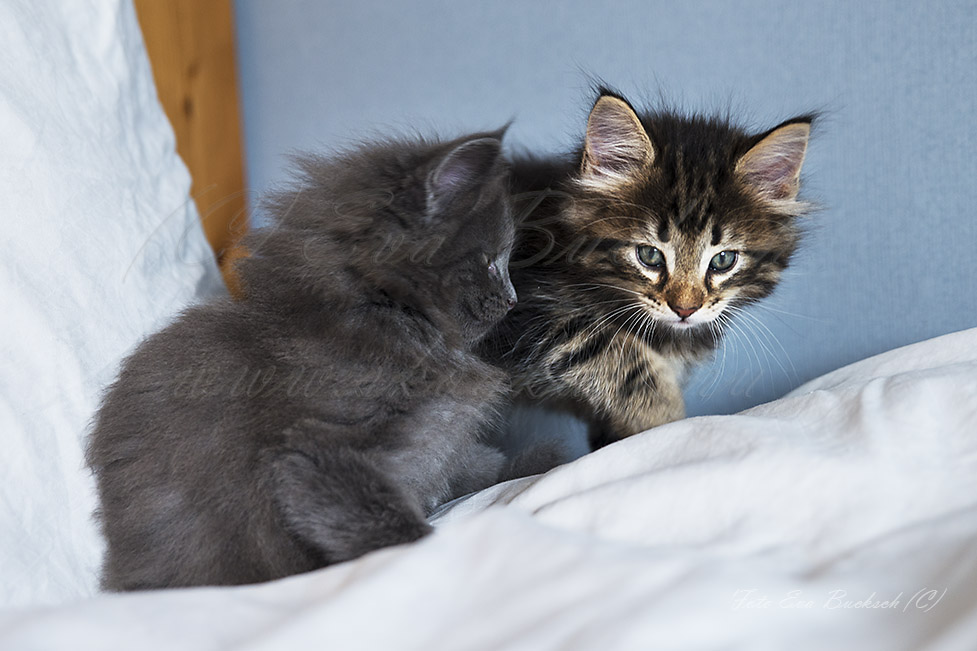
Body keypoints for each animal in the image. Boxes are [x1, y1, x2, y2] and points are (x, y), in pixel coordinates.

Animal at [87, 132, 540, 592]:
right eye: (492, 261)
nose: (513, 298)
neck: (385, 318)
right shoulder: (321, 449)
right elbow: (389, 523)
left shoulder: (442, 444)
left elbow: (477, 465)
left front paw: (531, 463)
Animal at [484, 91, 812, 448]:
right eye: (649, 255)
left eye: (723, 260)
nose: (685, 309)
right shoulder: (521, 308)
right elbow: (616, 352)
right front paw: (665, 422)